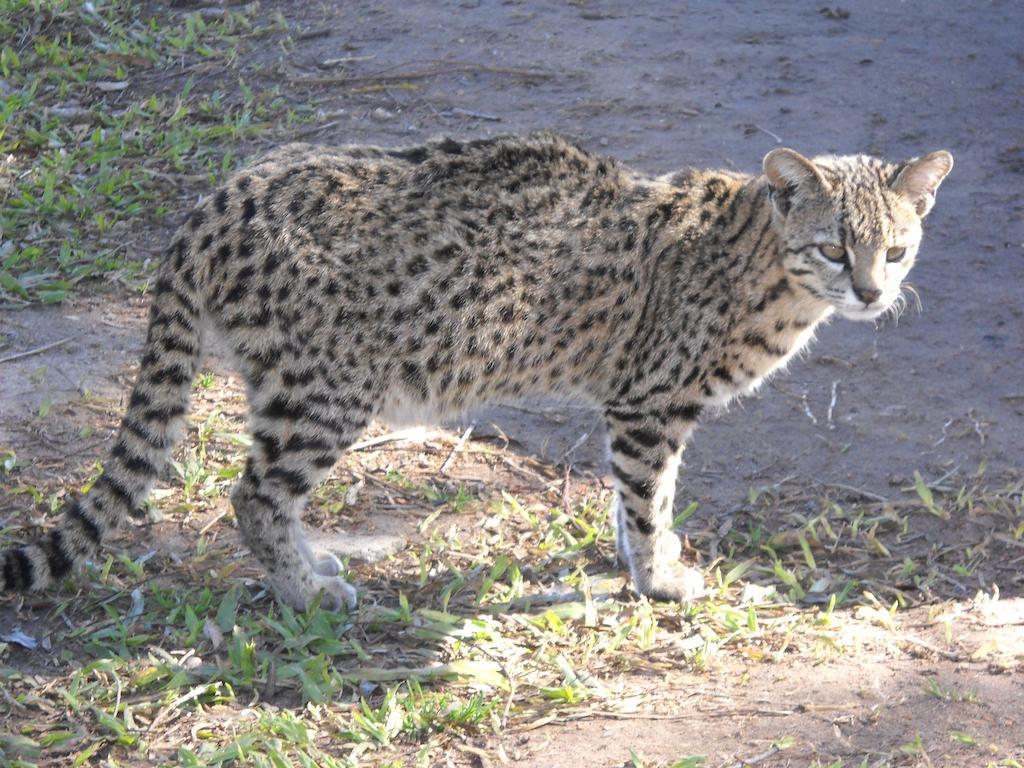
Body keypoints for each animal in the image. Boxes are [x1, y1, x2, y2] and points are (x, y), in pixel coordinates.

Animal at [4, 134, 954, 614]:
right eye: (833, 247)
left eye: (896, 248)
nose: (873, 294)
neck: (771, 268)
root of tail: (217, 194)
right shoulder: (648, 405)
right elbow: (648, 500)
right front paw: (656, 578)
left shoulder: (640, 408)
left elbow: (635, 501)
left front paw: (643, 561)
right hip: (328, 388)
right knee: (255, 494)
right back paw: (305, 592)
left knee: (263, 491)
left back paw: (310, 569)